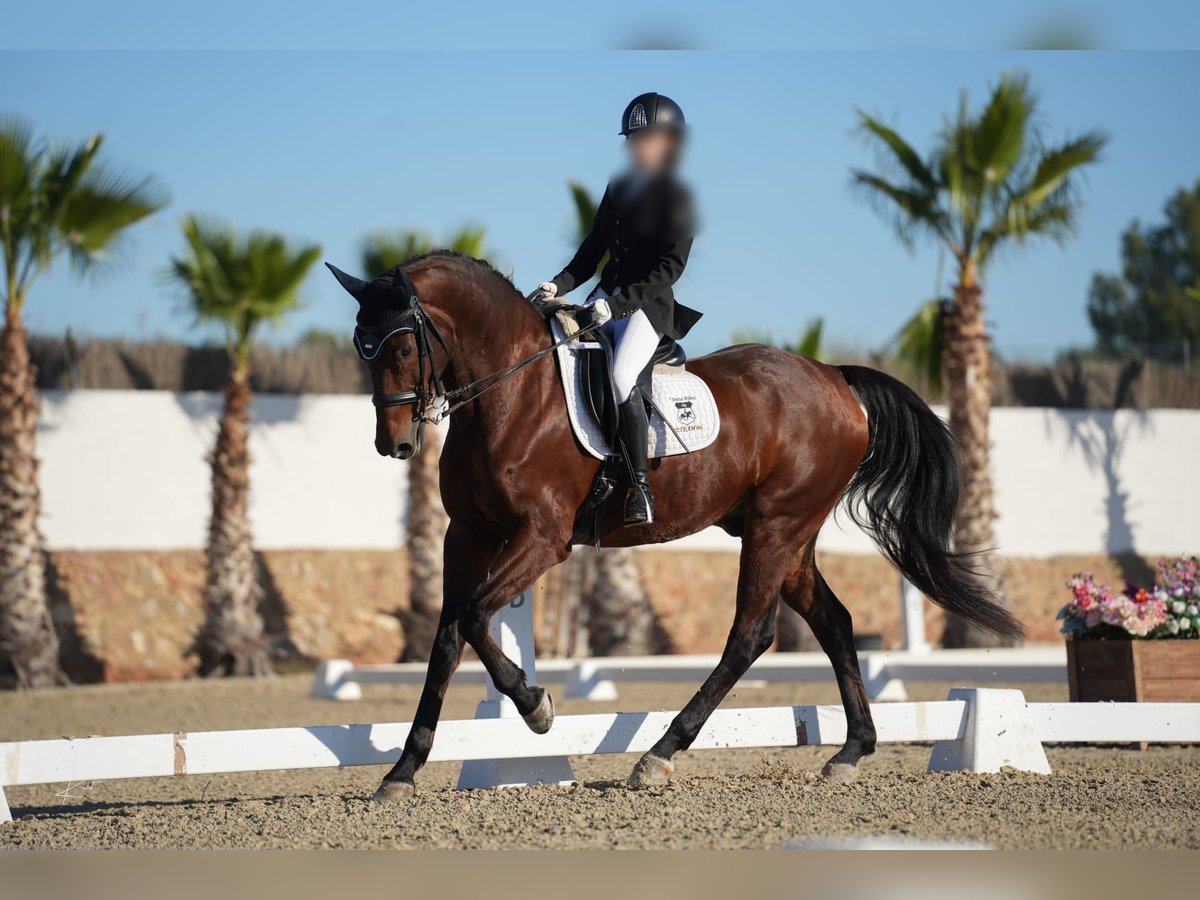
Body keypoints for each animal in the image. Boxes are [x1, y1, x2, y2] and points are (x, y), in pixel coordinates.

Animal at [326, 248, 1022, 801]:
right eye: (363, 349)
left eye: (404, 345)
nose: (393, 443)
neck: (510, 396)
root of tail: (834, 378)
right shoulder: (466, 537)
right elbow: (447, 637)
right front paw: (403, 770)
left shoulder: (543, 539)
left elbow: (472, 616)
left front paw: (536, 708)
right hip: (789, 534)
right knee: (834, 622)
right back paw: (851, 752)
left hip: (776, 527)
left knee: (750, 634)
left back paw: (659, 755)